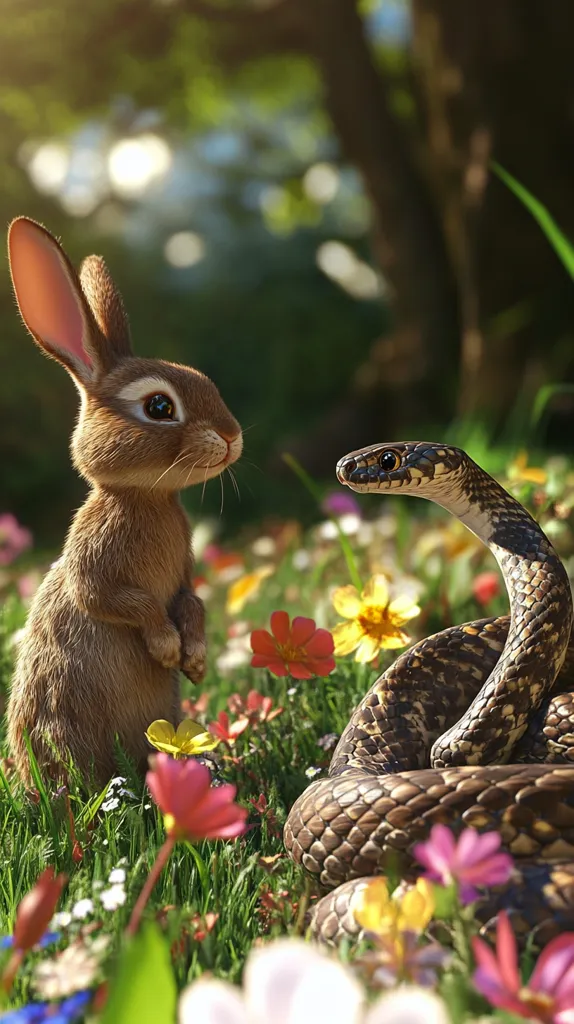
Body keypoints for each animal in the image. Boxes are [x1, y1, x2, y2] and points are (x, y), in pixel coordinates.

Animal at [6, 216, 242, 787]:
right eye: (159, 407)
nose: (233, 436)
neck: (146, 497)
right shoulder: (94, 568)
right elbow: (116, 600)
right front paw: (166, 647)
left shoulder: (185, 575)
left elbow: (192, 601)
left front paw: (195, 660)